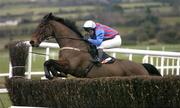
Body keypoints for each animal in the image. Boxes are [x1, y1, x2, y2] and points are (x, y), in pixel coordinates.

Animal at [29, 13, 162, 79]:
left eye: (41, 26)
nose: (32, 42)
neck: (73, 46)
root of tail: (142, 66)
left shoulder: (71, 66)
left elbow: (48, 61)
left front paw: (50, 75)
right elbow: (49, 62)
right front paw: (56, 74)